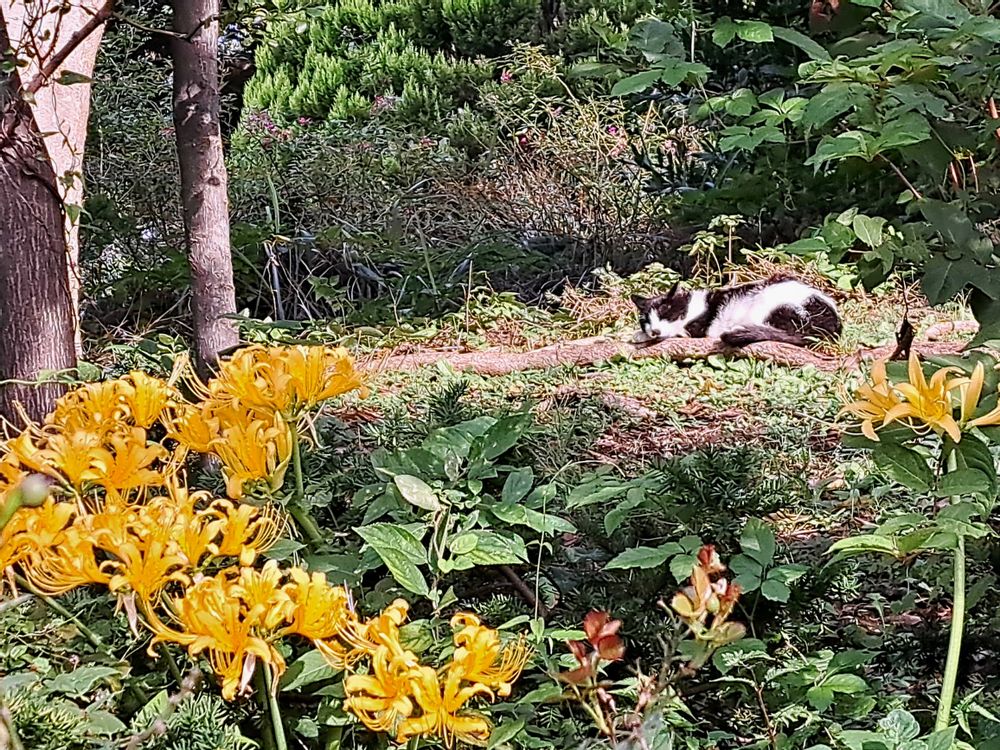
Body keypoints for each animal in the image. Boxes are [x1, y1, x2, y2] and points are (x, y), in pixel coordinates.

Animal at [636, 274, 840, 348]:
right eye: (646, 321)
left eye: (665, 313)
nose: (654, 330)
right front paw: (641, 333)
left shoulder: (697, 328)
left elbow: (676, 333)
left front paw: (639, 335)